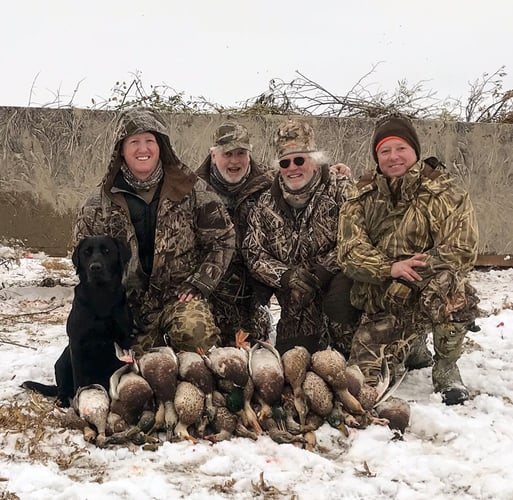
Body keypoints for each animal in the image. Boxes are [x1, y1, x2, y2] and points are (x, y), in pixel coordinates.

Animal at [22, 235, 134, 406]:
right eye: (86, 252)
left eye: (107, 251)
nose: (95, 267)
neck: (101, 296)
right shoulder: (76, 343)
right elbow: (79, 379)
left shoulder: (123, 341)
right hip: (63, 360)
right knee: (63, 386)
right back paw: (62, 400)